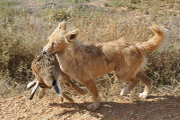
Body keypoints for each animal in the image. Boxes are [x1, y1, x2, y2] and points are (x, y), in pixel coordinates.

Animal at [41, 21, 169, 110]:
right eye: (48, 40)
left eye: (54, 43)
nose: (43, 52)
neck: (71, 54)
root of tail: (136, 45)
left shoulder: (89, 80)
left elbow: (95, 95)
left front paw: (95, 106)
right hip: (133, 71)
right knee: (148, 80)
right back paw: (145, 94)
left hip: (122, 75)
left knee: (136, 81)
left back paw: (125, 91)